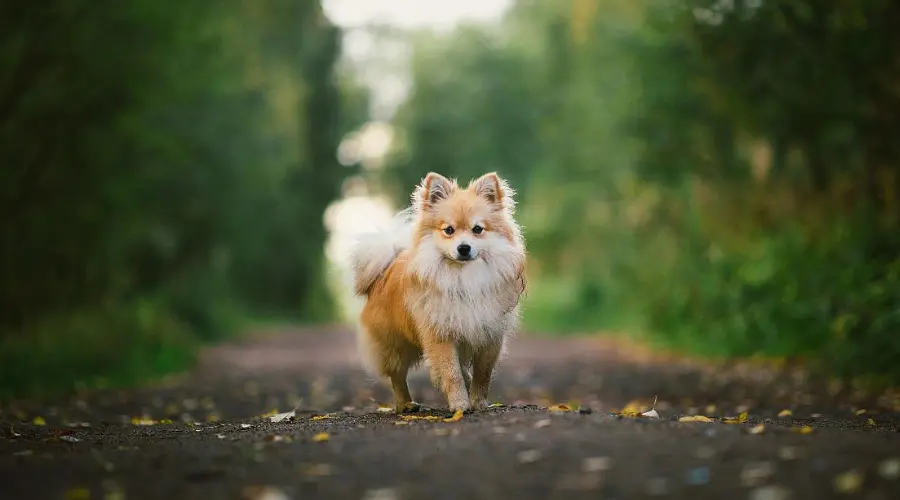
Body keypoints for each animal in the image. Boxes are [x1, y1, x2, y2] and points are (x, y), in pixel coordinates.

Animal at [348, 172, 524, 414]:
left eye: (477, 229)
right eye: (448, 230)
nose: (463, 247)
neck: (464, 276)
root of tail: (384, 271)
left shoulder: (490, 335)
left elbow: (483, 374)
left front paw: (478, 402)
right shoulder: (440, 334)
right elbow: (451, 373)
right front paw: (460, 404)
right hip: (394, 344)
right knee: (397, 374)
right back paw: (405, 404)